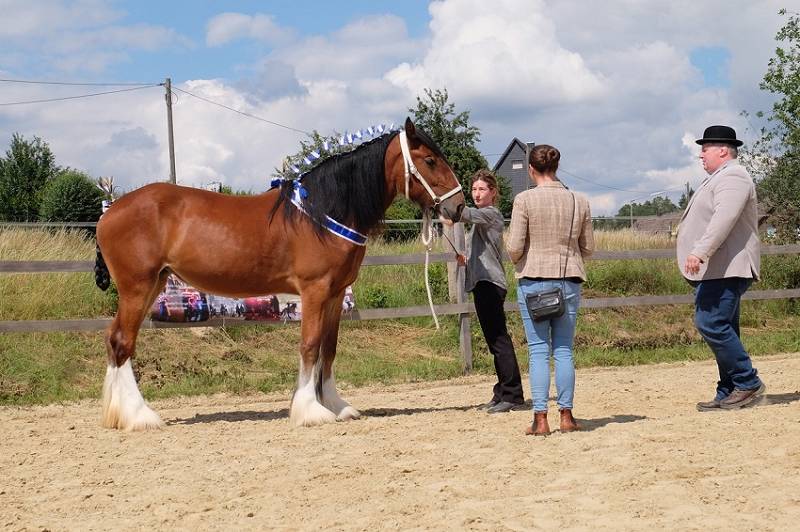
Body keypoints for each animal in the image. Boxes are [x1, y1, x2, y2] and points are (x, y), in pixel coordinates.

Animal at [94, 118, 466, 430]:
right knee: (123, 342)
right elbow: (310, 345)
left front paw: (336, 404)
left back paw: (117, 415)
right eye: (430, 161)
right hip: (137, 287)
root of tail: (110, 211)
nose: (459, 205)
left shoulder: (335, 295)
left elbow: (329, 349)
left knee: (115, 341)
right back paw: (140, 417)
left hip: (153, 284)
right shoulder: (314, 292)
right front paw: (311, 410)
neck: (323, 213)